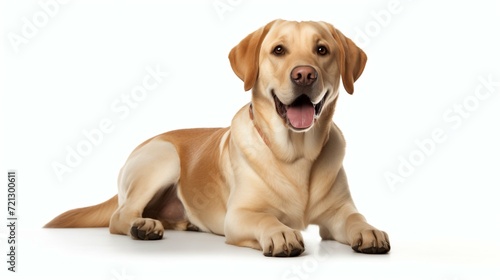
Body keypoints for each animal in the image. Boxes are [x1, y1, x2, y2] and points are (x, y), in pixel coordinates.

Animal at [46, 19, 390, 256]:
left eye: (322, 50)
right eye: (278, 50)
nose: (304, 74)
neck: (298, 154)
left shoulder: (338, 214)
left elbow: (356, 217)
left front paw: (370, 230)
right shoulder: (239, 216)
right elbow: (268, 221)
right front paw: (281, 233)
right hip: (162, 159)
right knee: (120, 216)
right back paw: (142, 225)